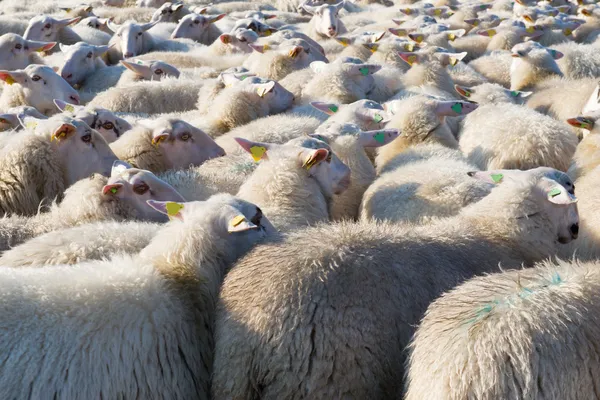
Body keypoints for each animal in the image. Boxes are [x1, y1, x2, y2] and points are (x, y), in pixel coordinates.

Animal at [212, 170, 580, 400]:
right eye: (570, 187)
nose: (576, 229)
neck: (498, 231)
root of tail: (253, 336)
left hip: (234, 382)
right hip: (327, 383)